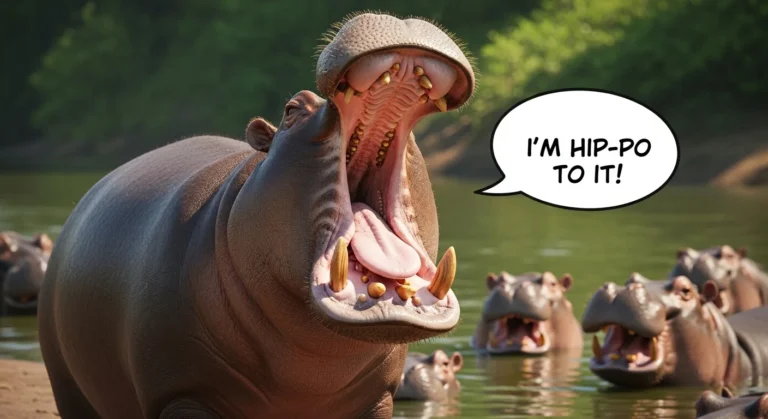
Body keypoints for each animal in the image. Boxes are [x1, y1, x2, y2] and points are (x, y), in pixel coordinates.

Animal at [37, 12, 474, 419]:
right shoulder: (185, 393)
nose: (399, 18)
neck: (313, 365)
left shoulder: (378, 398)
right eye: (292, 108)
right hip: (68, 386)